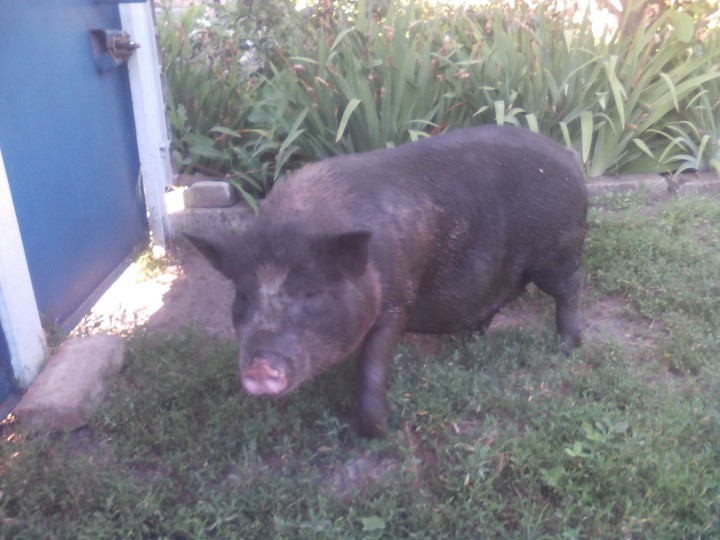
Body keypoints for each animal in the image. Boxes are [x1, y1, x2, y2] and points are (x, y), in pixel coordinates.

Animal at [186, 125, 588, 437]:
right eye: (242, 295)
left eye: (311, 292)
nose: (259, 367)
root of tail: (568, 154)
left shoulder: (397, 299)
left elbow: (372, 362)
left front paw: (381, 432)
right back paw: (472, 337)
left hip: (558, 252)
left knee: (570, 289)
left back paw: (567, 348)